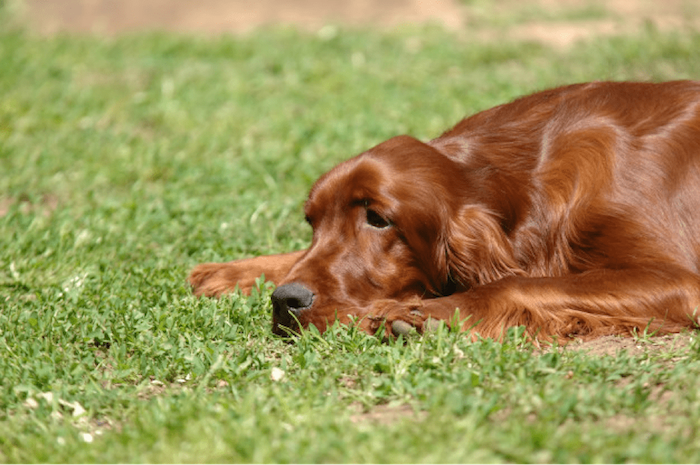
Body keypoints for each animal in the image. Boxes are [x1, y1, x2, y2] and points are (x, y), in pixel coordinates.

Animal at [189, 80, 700, 340]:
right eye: (312, 221)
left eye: (379, 219)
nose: (286, 301)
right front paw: (231, 271)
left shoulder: (679, 280)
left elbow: (515, 283)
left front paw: (419, 314)